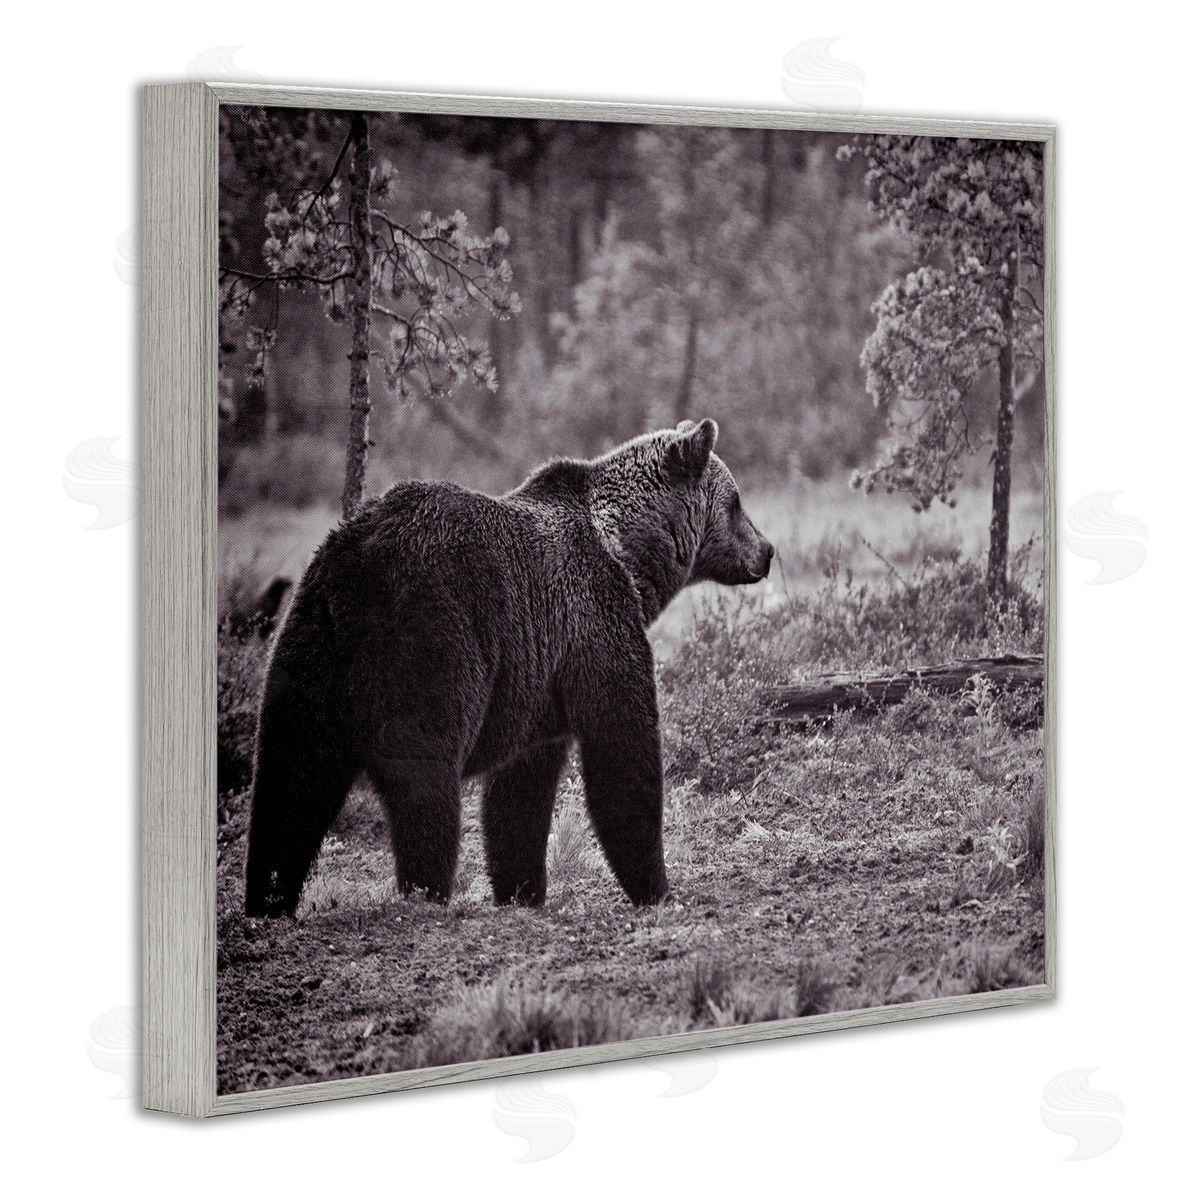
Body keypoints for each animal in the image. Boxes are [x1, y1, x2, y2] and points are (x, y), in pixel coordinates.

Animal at [243, 418, 773, 917]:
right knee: (422, 777)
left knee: (290, 777)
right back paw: (425, 891)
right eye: (736, 502)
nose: (767, 551)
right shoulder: (595, 621)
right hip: (431, 637)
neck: (628, 553)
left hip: (311, 642)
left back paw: (267, 900)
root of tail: (361, 565)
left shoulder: (537, 682)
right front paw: (657, 888)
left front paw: (522, 890)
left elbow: (519, 794)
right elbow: (622, 747)